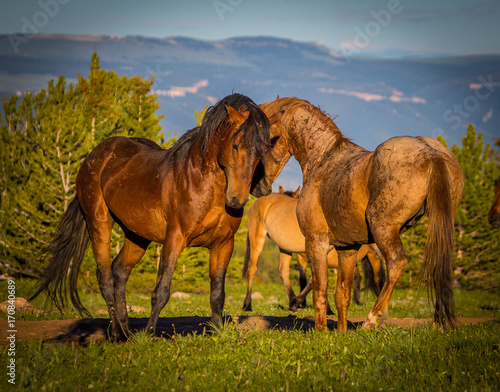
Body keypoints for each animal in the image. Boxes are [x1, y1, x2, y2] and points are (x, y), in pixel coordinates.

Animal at [30, 93, 274, 338]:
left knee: (119, 273)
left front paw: (216, 333)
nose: (236, 200)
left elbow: (217, 295)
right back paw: (117, 333)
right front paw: (148, 335)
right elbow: (162, 291)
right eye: (235, 146)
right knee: (106, 278)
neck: (202, 183)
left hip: (137, 236)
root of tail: (94, 156)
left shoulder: (223, 245)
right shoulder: (174, 239)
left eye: (260, 153)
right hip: (98, 223)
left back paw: (127, 331)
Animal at [240, 186, 384, 312]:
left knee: (283, 271)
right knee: (252, 270)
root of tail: (256, 202)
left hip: (284, 247)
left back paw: (292, 300)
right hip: (257, 240)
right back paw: (248, 305)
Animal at [258, 96, 464, 332]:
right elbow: (342, 294)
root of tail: (431, 152)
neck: (323, 159)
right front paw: (341, 332)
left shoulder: (316, 242)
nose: (260, 185)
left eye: (267, 139)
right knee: (439, 267)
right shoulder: (347, 249)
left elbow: (320, 288)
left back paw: (371, 319)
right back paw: (439, 322)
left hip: (383, 228)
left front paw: (321, 331)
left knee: (397, 263)